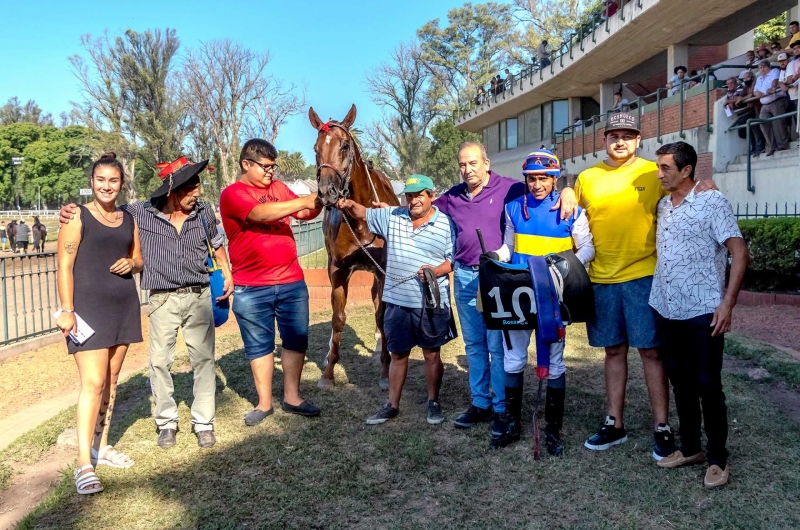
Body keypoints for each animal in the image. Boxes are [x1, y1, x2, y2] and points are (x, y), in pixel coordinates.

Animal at [310, 104, 404, 388]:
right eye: (316, 149)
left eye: (344, 146)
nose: (326, 193)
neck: (362, 221)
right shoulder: (338, 271)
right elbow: (338, 318)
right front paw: (329, 371)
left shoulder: (383, 269)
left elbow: (381, 314)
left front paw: (385, 370)